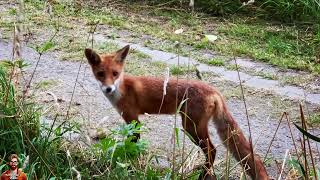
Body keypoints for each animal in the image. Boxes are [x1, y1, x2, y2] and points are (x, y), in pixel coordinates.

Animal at [84, 45, 268, 180]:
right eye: (100, 74)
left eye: (115, 73)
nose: (108, 88)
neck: (122, 89)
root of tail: (214, 90)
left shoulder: (133, 119)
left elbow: (132, 143)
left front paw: (129, 162)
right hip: (193, 128)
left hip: (191, 128)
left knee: (212, 150)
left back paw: (203, 175)